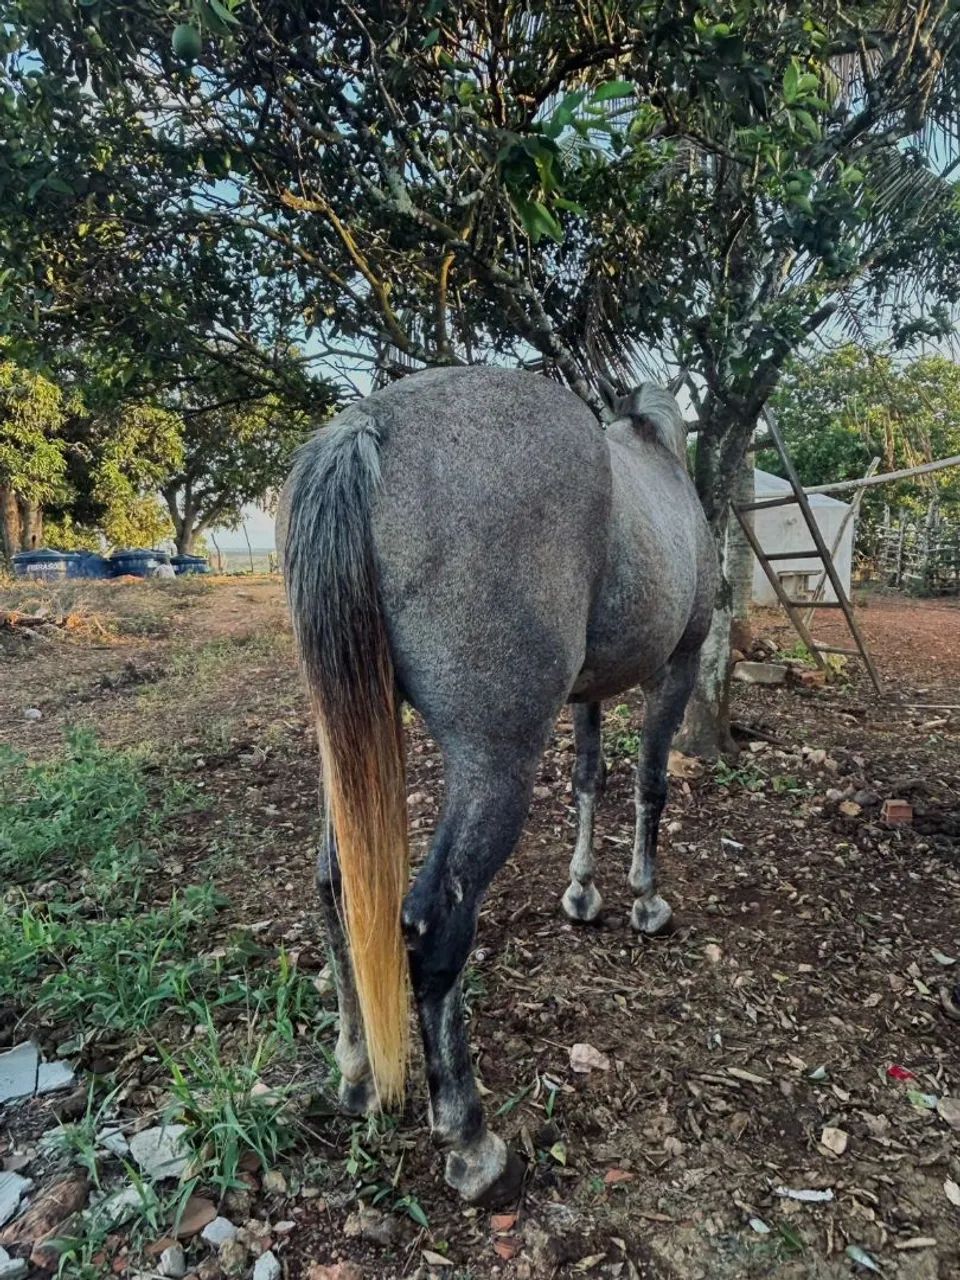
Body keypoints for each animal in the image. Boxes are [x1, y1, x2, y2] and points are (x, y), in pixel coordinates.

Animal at [277, 365, 717, 1206]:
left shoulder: (588, 693)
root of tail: (367, 425)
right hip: (494, 762)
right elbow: (649, 783)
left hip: (343, 746)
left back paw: (356, 1074)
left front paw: (583, 890)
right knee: (434, 926)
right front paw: (645, 899)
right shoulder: (675, 669)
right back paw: (473, 1143)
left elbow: (588, 779)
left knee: (336, 886)